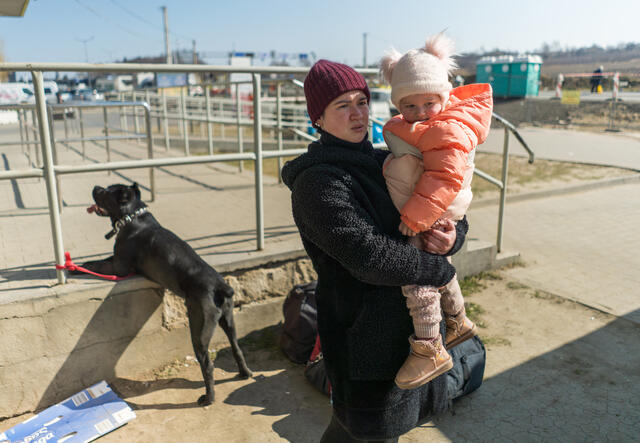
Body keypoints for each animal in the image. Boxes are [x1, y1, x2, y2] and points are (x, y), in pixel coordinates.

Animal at [76, 183, 251, 406]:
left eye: (106, 192)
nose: (96, 187)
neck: (133, 216)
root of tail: (220, 287)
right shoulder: (115, 259)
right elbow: (103, 259)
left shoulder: (119, 266)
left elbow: (97, 264)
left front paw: (78, 267)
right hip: (229, 321)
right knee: (236, 347)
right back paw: (244, 374)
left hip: (199, 330)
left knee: (207, 365)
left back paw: (208, 398)